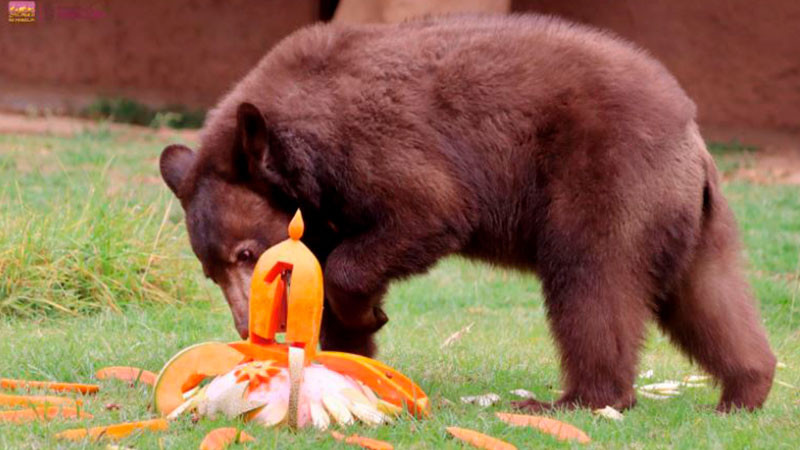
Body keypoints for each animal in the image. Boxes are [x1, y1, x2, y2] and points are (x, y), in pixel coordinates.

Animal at [158, 14, 776, 414]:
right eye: (209, 270)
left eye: (247, 253)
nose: (246, 327)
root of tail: (691, 135)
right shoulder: (326, 210)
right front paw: (348, 355)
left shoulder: (373, 148)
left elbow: (427, 211)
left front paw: (365, 314)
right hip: (687, 217)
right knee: (708, 296)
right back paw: (745, 389)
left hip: (607, 178)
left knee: (592, 283)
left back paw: (574, 399)